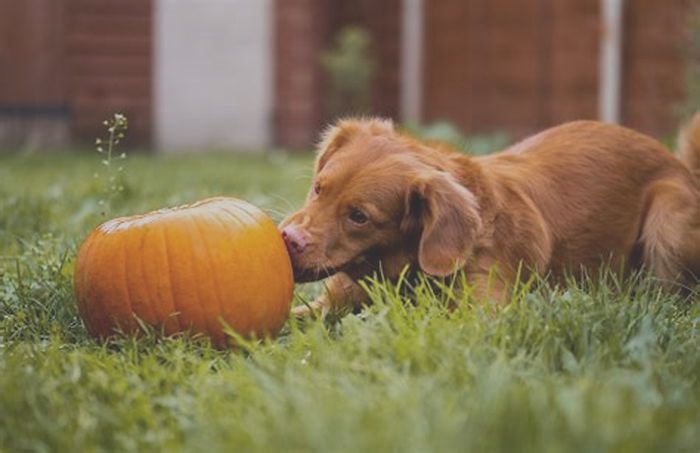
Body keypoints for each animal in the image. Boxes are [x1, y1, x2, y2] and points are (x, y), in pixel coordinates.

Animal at [278, 116, 700, 314]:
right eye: (319, 188)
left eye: (359, 217)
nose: (289, 240)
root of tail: (680, 165)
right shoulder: (327, 305)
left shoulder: (482, 315)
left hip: (667, 217)